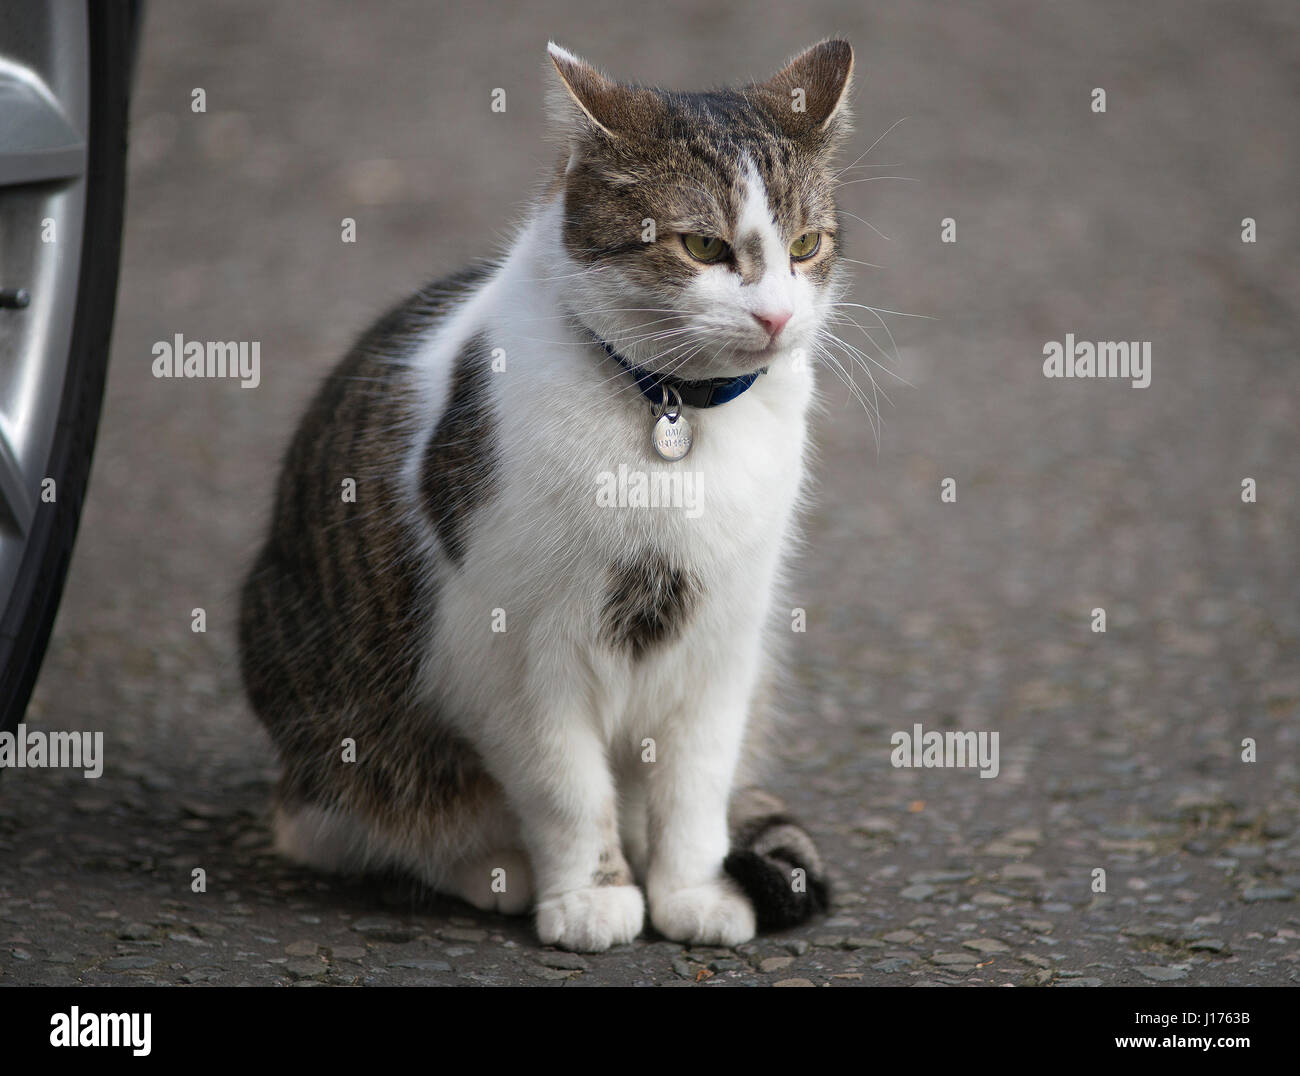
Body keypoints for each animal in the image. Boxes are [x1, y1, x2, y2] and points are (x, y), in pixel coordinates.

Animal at [239, 39, 852, 951]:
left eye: (807, 244)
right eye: (702, 245)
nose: (777, 317)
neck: (669, 412)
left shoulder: (725, 641)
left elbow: (695, 785)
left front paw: (692, 890)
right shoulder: (515, 658)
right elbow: (567, 790)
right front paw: (590, 898)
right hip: (337, 723)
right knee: (349, 826)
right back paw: (491, 871)